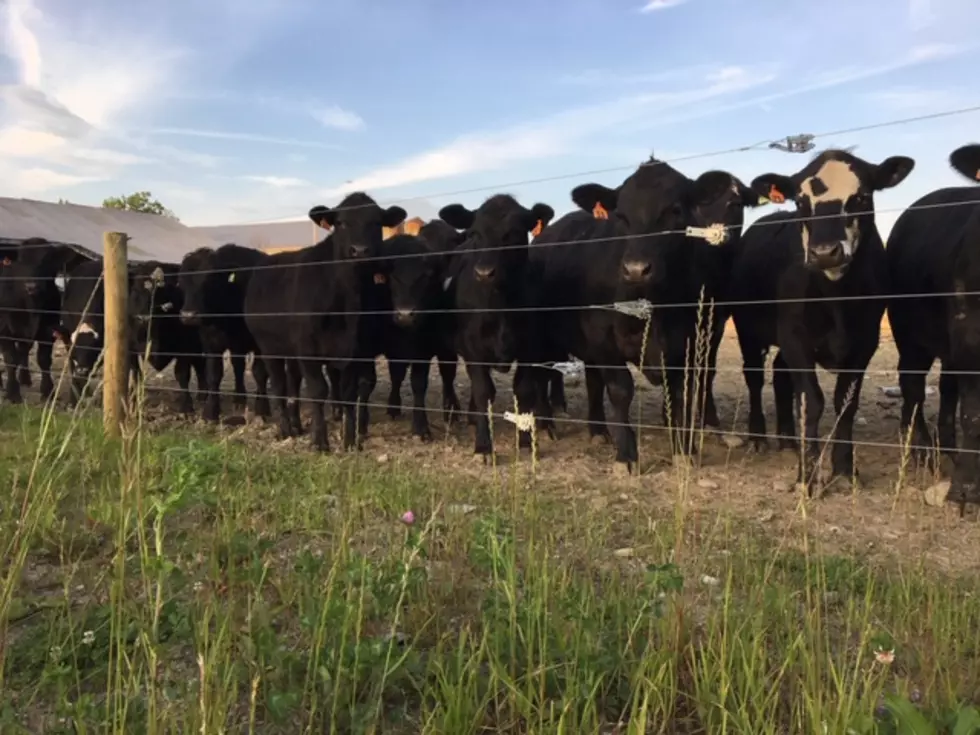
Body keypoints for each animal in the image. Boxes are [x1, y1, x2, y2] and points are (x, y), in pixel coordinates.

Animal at [244, 193, 406, 452]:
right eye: (340, 223)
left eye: (376, 222)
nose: (359, 250)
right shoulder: (308, 351)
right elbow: (318, 390)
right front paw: (319, 440)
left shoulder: (352, 351)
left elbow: (349, 393)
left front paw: (349, 440)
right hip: (269, 348)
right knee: (278, 386)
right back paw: (284, 429)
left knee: (292, 382)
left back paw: (296, 424)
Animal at [434, 196, 552, 460]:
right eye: (475, 233)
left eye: (514, 233)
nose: (484, 272)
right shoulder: (473, 348)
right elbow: (483, 392)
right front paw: (483, 446)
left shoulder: (530, 348)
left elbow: (523, 390)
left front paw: (525, 441)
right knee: (450, 375)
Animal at [528, 158, 744, 474]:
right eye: (621, 215)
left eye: (674, 210)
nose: (636, 269)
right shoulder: (604, 339)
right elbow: (621, 391)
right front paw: (627, 455)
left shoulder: (691, 342)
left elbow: (679, 394)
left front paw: (684, 450)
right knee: (542, 373)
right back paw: (545, 425)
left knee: (591, 380)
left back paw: (598, 430)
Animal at [732, 148, 916, 494]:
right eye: (800, 203)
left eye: (861, 197)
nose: (825, 252)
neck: (836, 298)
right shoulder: (795, 336)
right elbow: (810, 400)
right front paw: (807, 475)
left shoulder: (865, 341)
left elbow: (846, 402)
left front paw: (844, 470)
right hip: (747, 328)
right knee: (754, 377)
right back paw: (758, 437)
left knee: (780, 374)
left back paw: (788, 439)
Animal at [884, 142, 980, 500]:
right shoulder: (969, 333)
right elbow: (973, 412)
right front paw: (966, 487)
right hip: (909, 332)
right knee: (912, 383)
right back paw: (923, 450)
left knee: (946, 387)